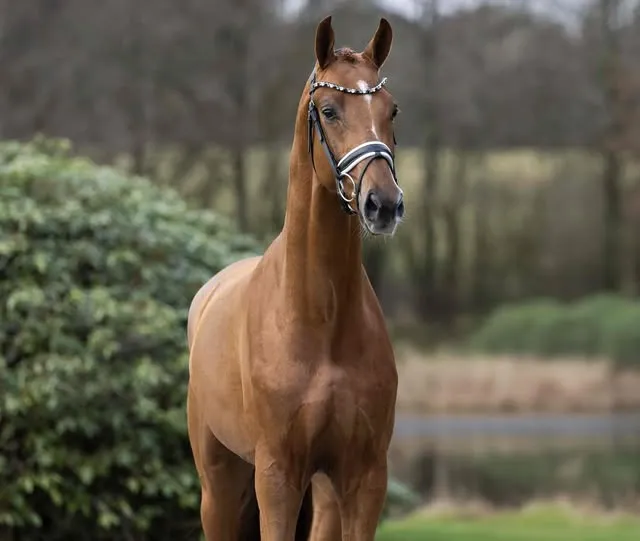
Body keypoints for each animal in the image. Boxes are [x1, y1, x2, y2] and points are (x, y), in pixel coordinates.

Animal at [186, 15, 404, 541]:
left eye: (392, 110)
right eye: (329, 110)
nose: (384, 204)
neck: (319, 318)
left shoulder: (364, 477)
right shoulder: (277, 476)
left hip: (321, 493)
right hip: (218, 486)